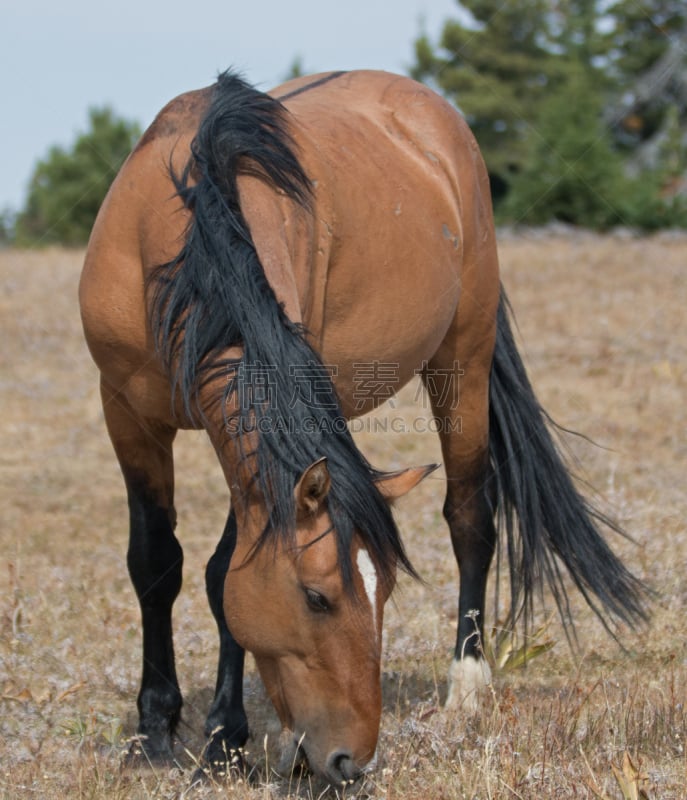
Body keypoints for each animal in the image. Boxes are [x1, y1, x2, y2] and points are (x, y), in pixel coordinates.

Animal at [78, 70, 648, 788]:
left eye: (386, 596)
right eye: (317, 598)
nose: (350, 760)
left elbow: (220, 571)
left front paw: (223, 738)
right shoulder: (126, 410)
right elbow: (156, 562)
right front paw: (154, 732)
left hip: (462, 359)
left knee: (470, 517)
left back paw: (465, 689)